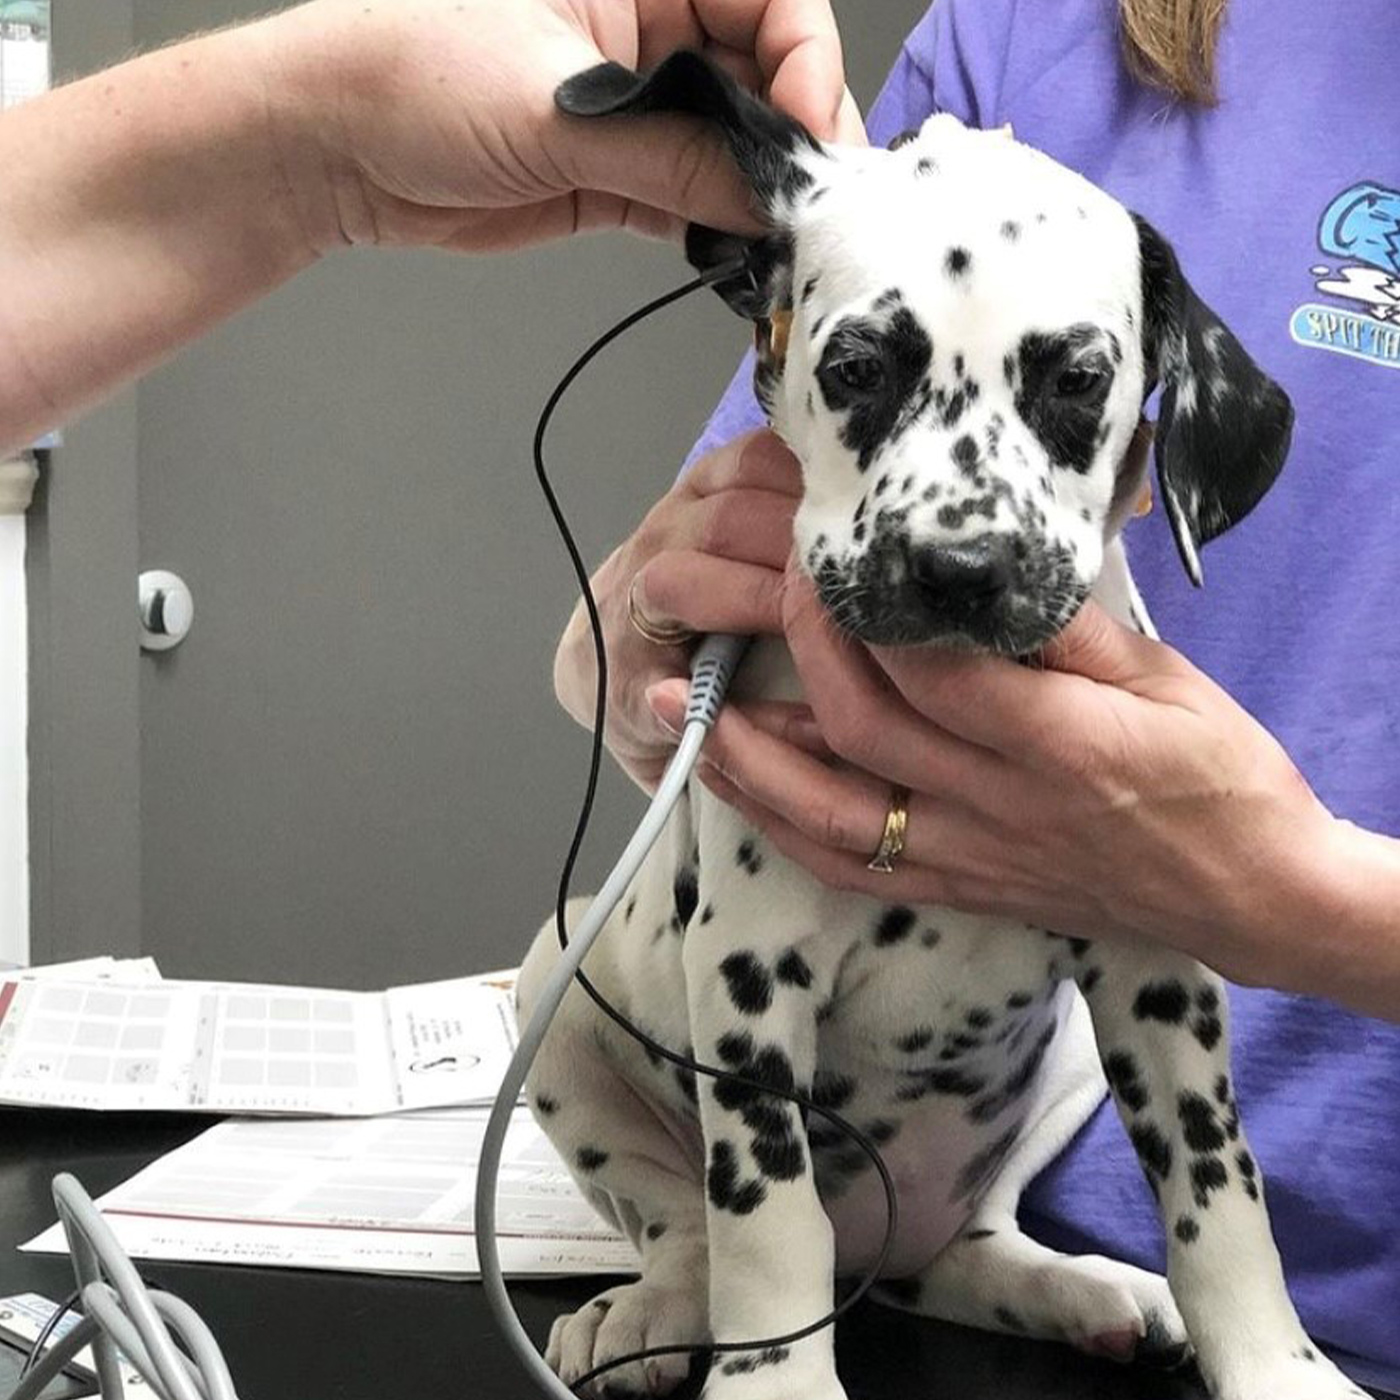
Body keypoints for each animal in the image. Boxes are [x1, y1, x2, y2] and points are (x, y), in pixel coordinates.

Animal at [518, 49, 1366, 1400]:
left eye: (1076, 379)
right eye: (857, 366)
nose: (960, 568)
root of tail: (895, 1237)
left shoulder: (1159, 974)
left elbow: (1217, 1190)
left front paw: (1274, 1362)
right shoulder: (748, 972)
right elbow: (764, 1211)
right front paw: (773, 1381)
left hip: (1058, 1069)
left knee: (971, 1244)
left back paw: (1077, 1286)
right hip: (552, 996)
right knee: (683, 1222)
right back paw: (648, 1310)